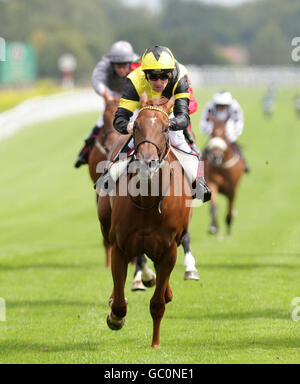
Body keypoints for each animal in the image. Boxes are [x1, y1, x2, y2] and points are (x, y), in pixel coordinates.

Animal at [97, 95, 193, 348]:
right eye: (137, 126)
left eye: (166, 127)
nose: (146, 162)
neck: (147, 200)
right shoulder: (120, 246)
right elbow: (119, 302)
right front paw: (115, 318)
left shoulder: (169, 249)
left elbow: (157, 303)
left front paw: (155, 343)